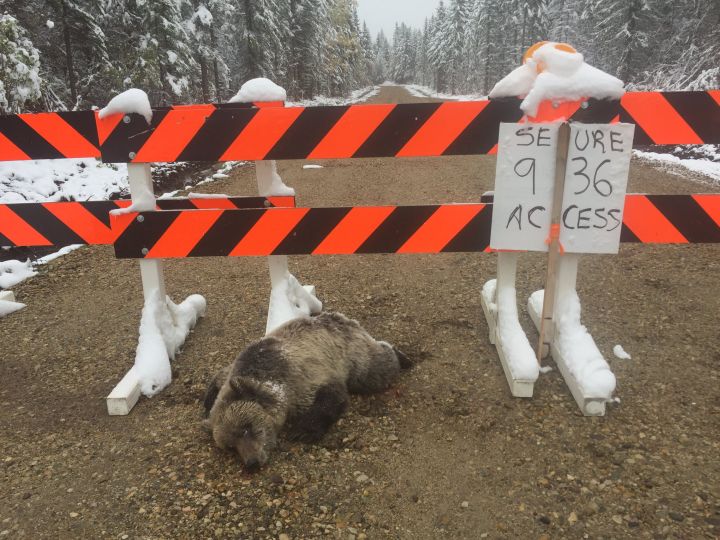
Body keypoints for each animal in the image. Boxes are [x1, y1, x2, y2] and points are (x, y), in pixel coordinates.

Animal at [202, 310, 408, 470]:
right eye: (231, 447)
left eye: (246, 428)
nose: (251, 462)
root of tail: (343, 317)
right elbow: (217, 380)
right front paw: (206, 404)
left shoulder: (303, 377)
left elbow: (332, 397)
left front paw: (302, 431)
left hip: (355, 355)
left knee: (377, 369)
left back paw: (402, 356)